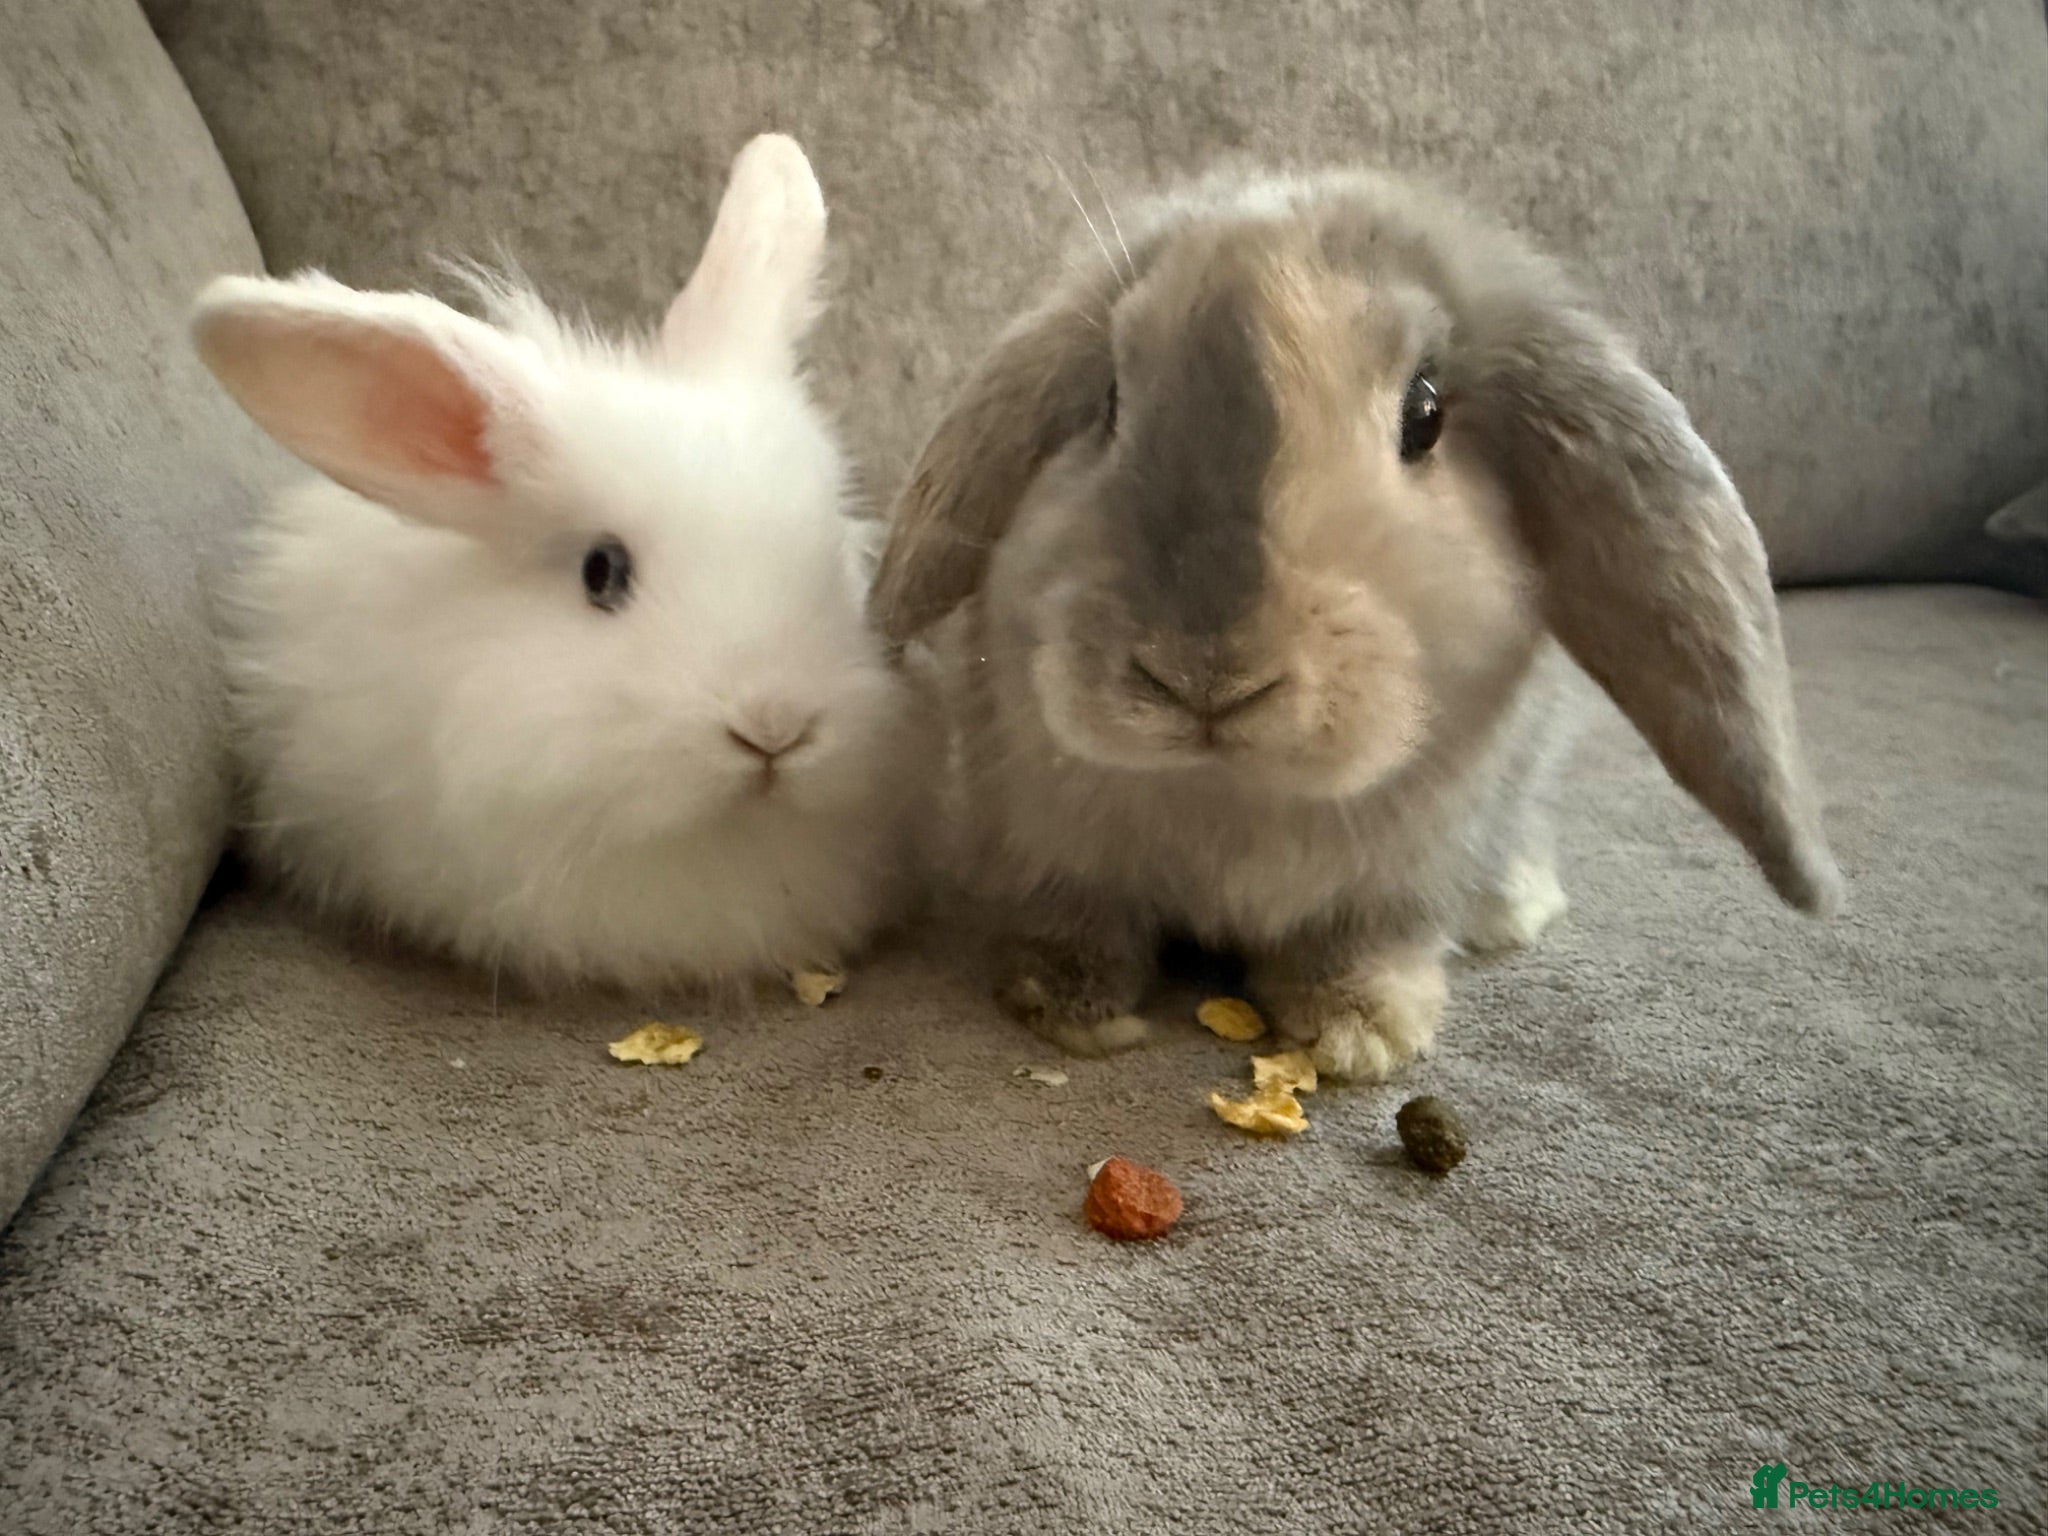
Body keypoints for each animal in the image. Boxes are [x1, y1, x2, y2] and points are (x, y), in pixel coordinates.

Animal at [869, 167, 1841, 1078]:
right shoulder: (1050, 846)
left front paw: (1360, 1033)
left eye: (1426, 415)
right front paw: (1068, 1008)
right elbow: (1082, 922)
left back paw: (1513, 908)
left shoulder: (1403, 876)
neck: (1235, 794)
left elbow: (1363, 946)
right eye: (1106, 401)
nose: (1203, 675)